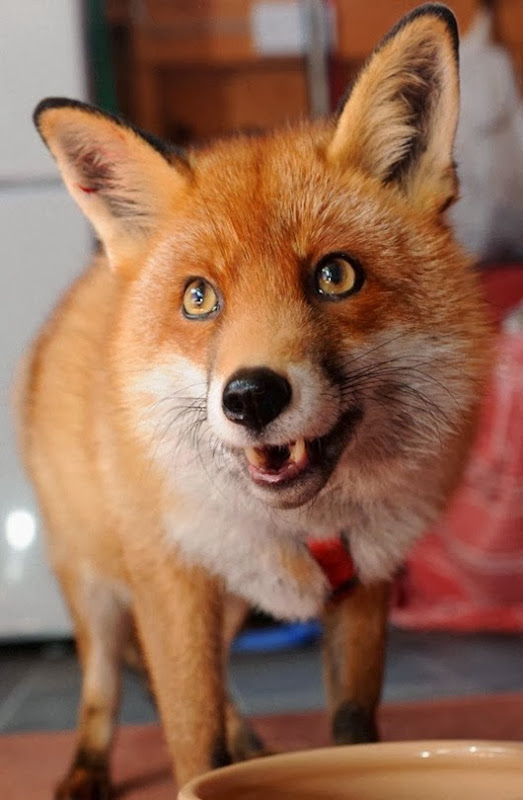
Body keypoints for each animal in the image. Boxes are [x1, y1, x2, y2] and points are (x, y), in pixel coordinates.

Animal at [17, 4, 490, 798]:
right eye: (199, 298)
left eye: (335, 275)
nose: (250, 396)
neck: (306, 526)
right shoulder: (173, 582)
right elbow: (191, 735)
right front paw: (204, 770)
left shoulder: (364, 587)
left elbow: (351, 729)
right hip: (97, 581)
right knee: (107, 678)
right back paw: (87, 767)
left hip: (228, 603)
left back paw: (249, 742)